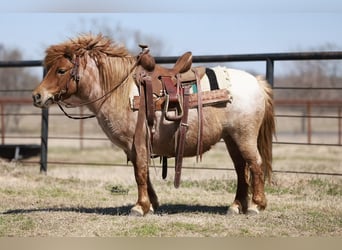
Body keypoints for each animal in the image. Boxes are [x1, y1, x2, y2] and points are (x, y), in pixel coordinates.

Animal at [32, 34, 276, 216]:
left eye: (61, 70)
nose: (37, 96)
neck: (121, 91)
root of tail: (256, 82)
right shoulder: (134, 146)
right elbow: (143, 172)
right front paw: (152, 203)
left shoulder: (138, 140)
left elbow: (140, 172)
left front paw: (140, 207)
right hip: (231, 138)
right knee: (241, 168)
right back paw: (236, 206)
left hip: (244, 136)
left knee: (255, 164)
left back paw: (256, 205)